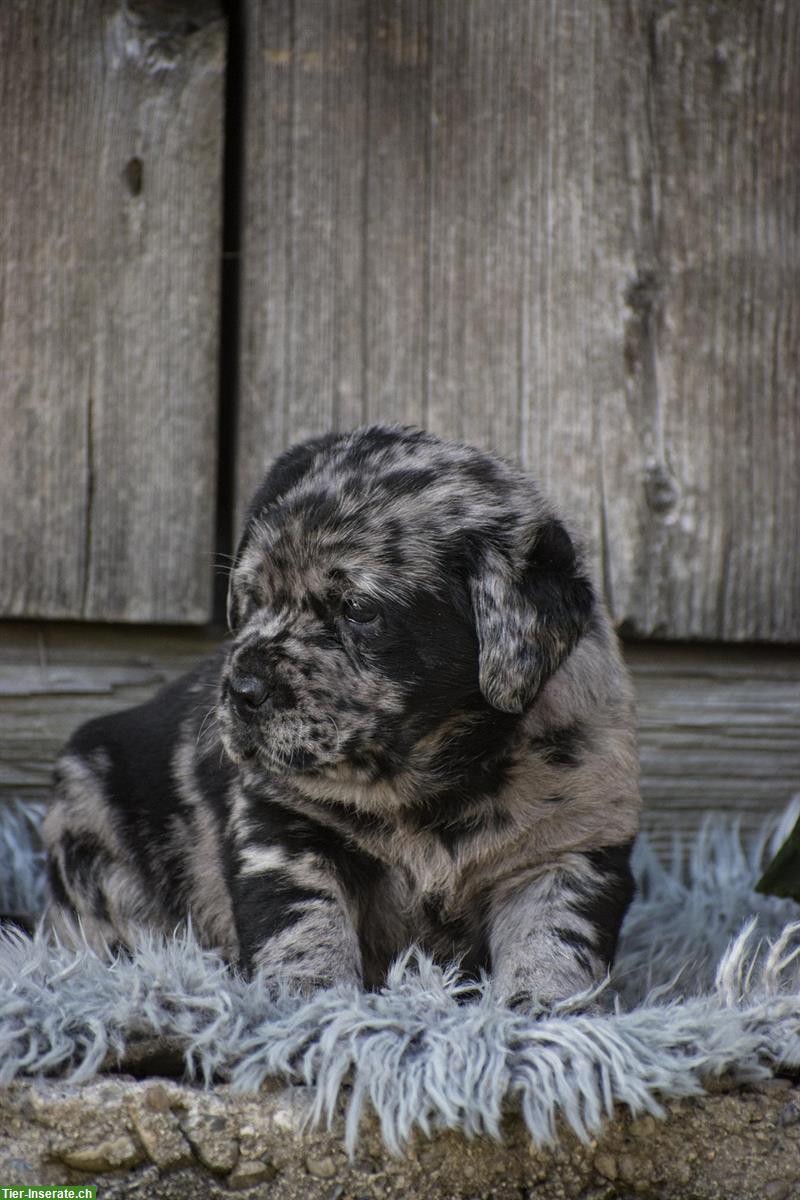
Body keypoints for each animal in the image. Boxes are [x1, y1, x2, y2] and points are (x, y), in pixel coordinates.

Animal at [45, 427, 642, 1008]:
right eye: (251, 597)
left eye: (358, 610)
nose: (242, 690)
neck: (429, 779)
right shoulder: (284, 828)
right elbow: (306, 928)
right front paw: (310, 1004)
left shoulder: (570, 848)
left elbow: (552, 942)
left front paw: (542, 1014)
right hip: (91, 831)